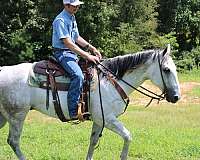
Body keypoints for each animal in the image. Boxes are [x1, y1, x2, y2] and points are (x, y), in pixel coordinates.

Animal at [0, 44, 180, 159]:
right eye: (166, 70)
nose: (176, 97)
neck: (111, 81)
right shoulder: (108, 119)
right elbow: (128, 136)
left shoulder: (99, 121)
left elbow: (93, 142)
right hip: (17, 115)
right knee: (14, 141)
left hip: (4, 117)